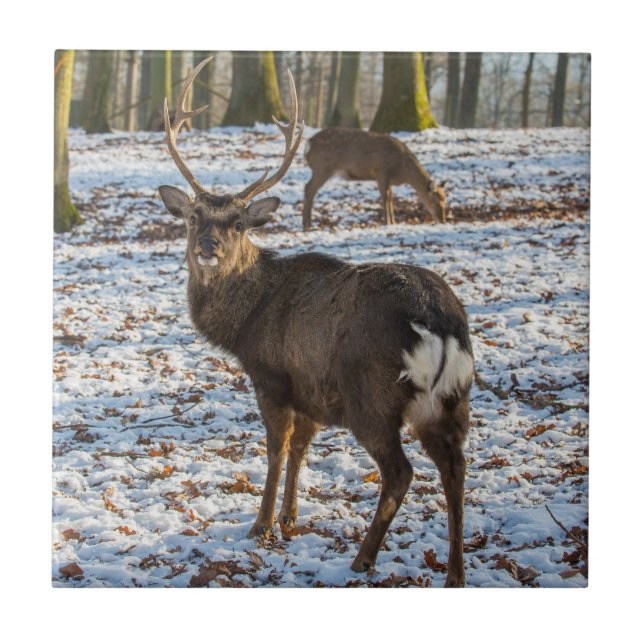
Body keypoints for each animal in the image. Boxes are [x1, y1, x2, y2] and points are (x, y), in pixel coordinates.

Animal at [302, 127, 447, 229]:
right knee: (309, 188)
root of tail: (308, 143)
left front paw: (393, 222)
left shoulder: (388, 180)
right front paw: (387, 222)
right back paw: (307, 224)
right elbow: (385, 197)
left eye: (445, 200)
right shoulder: (381, 172)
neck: (402, 170)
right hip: (322, 167)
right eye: (436, 201)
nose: (443, 220)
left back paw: (307, 222)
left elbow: (391, 198)